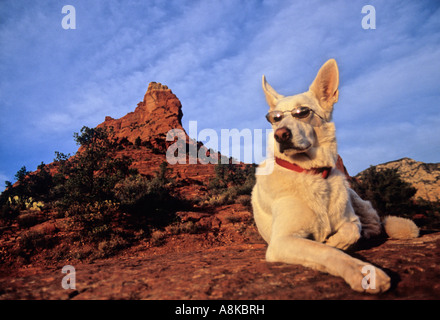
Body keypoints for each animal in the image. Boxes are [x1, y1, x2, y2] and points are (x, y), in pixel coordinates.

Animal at [251, 58, 420, 294]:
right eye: (274, 119)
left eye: (303, 112)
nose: (280, 135)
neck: (311, 172)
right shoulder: (282, 240)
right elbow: (324, 251)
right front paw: (362, 272)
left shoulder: (348, 218)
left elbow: (351, 230)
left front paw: (336, 241)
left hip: (354, 195)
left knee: (374, 221)